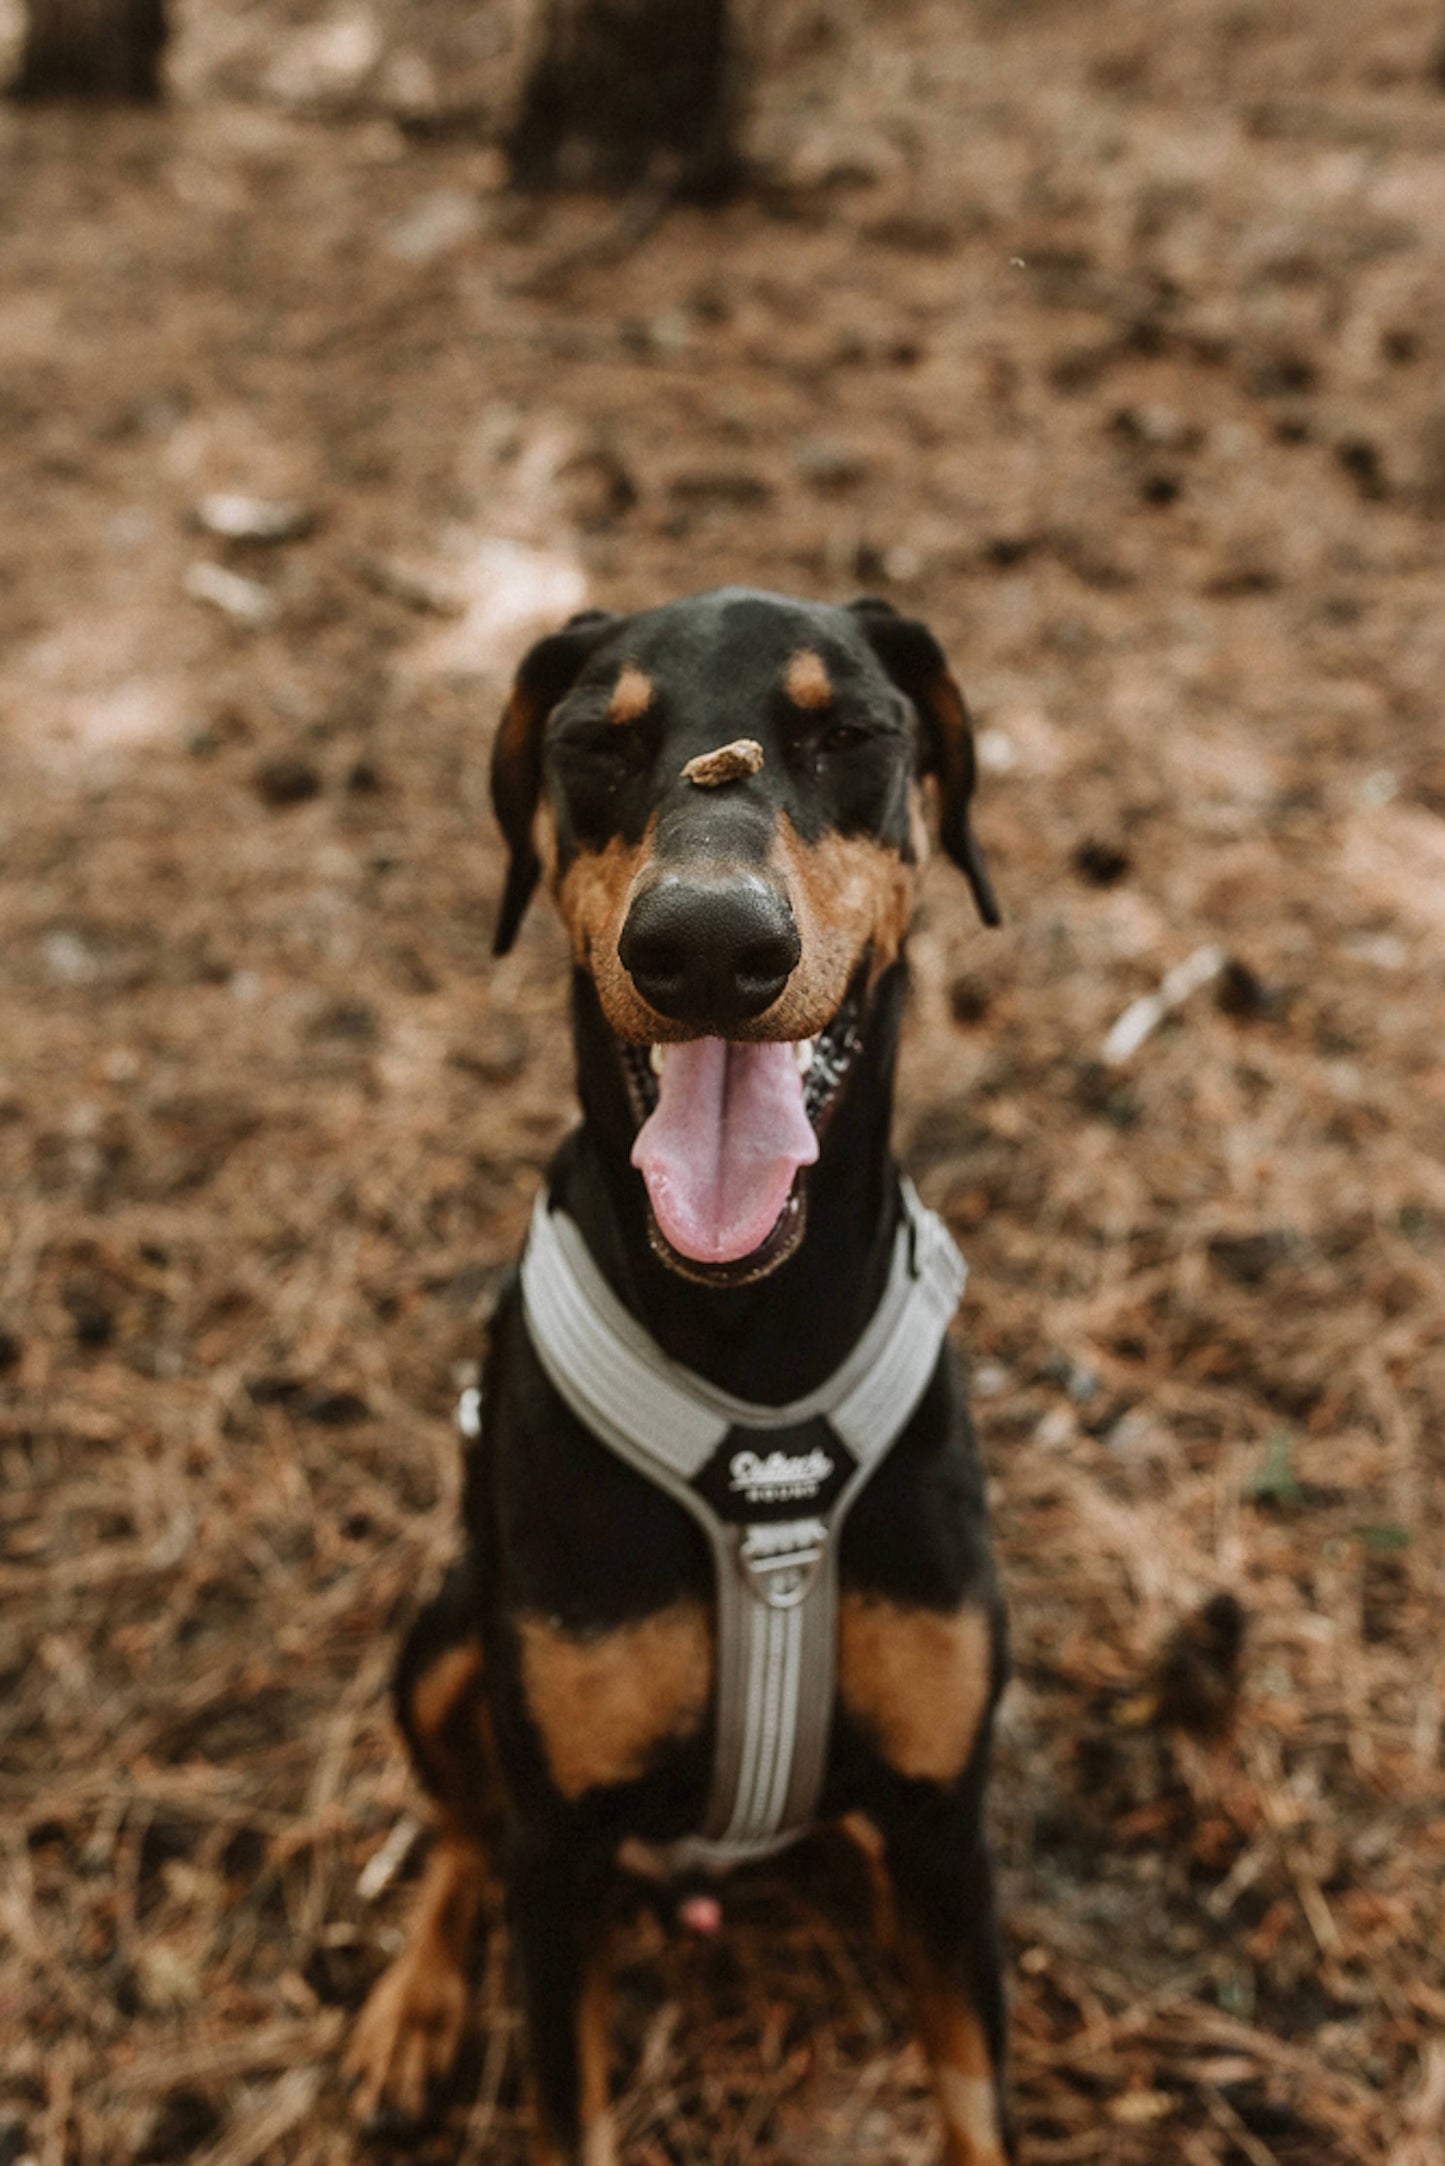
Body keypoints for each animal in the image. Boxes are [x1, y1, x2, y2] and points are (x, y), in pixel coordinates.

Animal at [344, 593, 1013, 2166]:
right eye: (599, 739)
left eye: (849, 733)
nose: (707, 949)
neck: (750, 1340)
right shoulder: (562, 1850)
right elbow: (560, 2082)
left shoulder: (951, 1816)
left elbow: (971, 2094)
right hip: (446, 1641)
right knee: (461, 1826)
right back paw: (413, 2009)